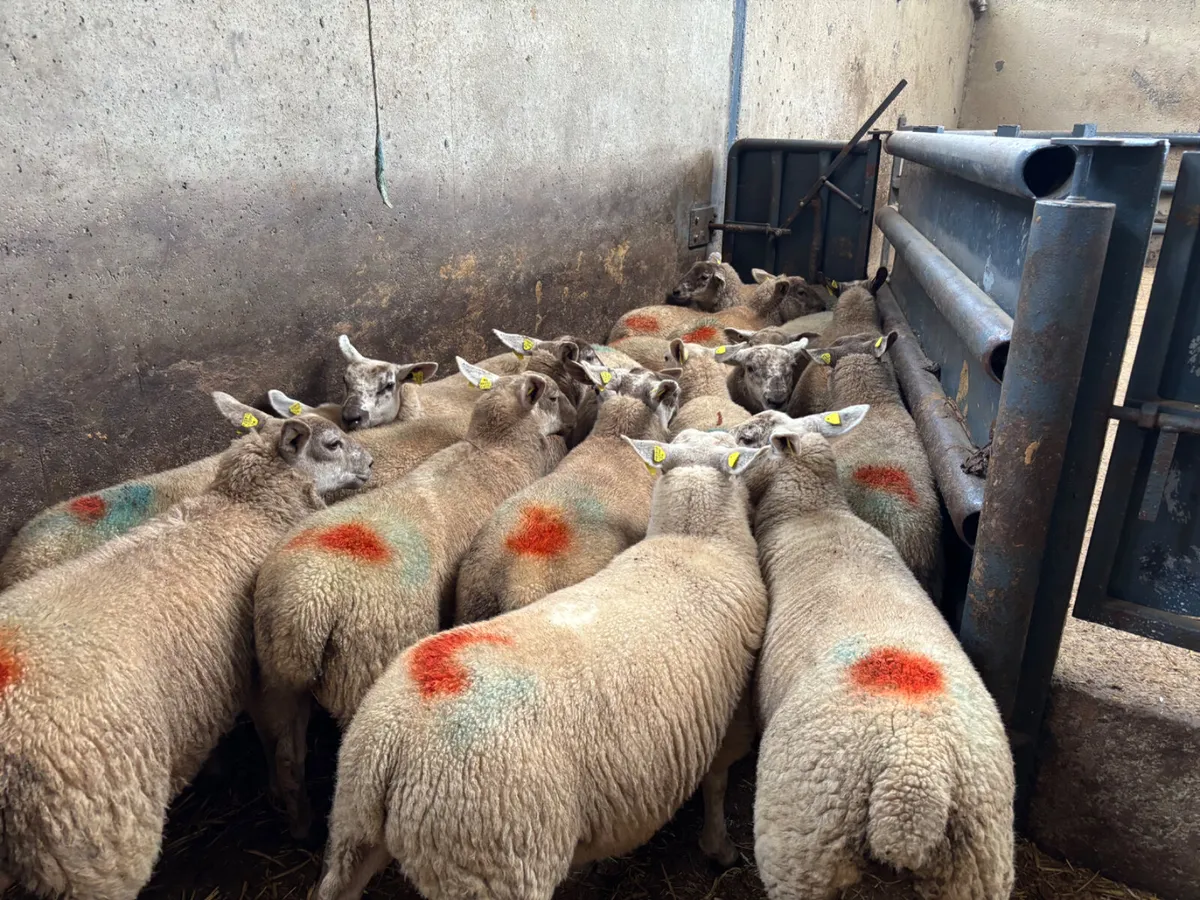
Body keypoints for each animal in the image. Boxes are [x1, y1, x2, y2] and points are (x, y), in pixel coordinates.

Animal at [0, 395, 372, 900]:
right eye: (333, 443)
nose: (370, 463)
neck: (246, 510)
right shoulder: (268, 670)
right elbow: (286, 753)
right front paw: (299, 823)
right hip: (95, 844)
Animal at [252, 360, 572, 838]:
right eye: (552, 397)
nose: (574, 416)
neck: (496, 450)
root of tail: (307, 606)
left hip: (278, 675)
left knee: (287, 756)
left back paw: (299, 823)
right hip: (365, 663)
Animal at [313, 428, 770, 900]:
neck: (692, 541)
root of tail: (390, 744)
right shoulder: (732, 717)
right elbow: (716, 785)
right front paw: (720, 848)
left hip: (353, 825)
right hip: (498, 858)